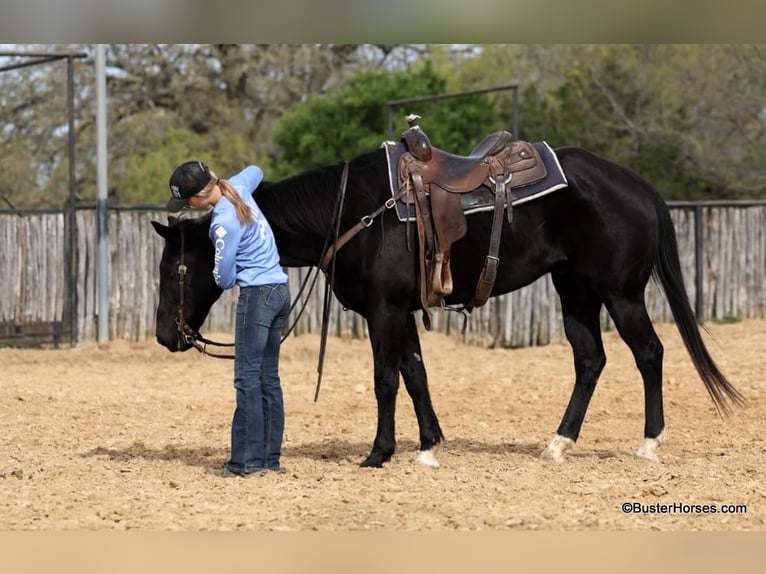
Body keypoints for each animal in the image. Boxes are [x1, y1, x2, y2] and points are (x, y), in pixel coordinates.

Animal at [150, 143, 744, 468]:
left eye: (175, 268)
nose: (164, 336)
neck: (352, 213)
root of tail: (638, 185)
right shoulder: (402, 310)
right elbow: (416, 373)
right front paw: (429, 445)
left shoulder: (385, 312)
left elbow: (386, 379)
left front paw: (380, 452)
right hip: (574, 291)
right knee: (590, 360)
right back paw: (558, 443)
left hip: (619, 294)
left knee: (649, 353)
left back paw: (649, 443)